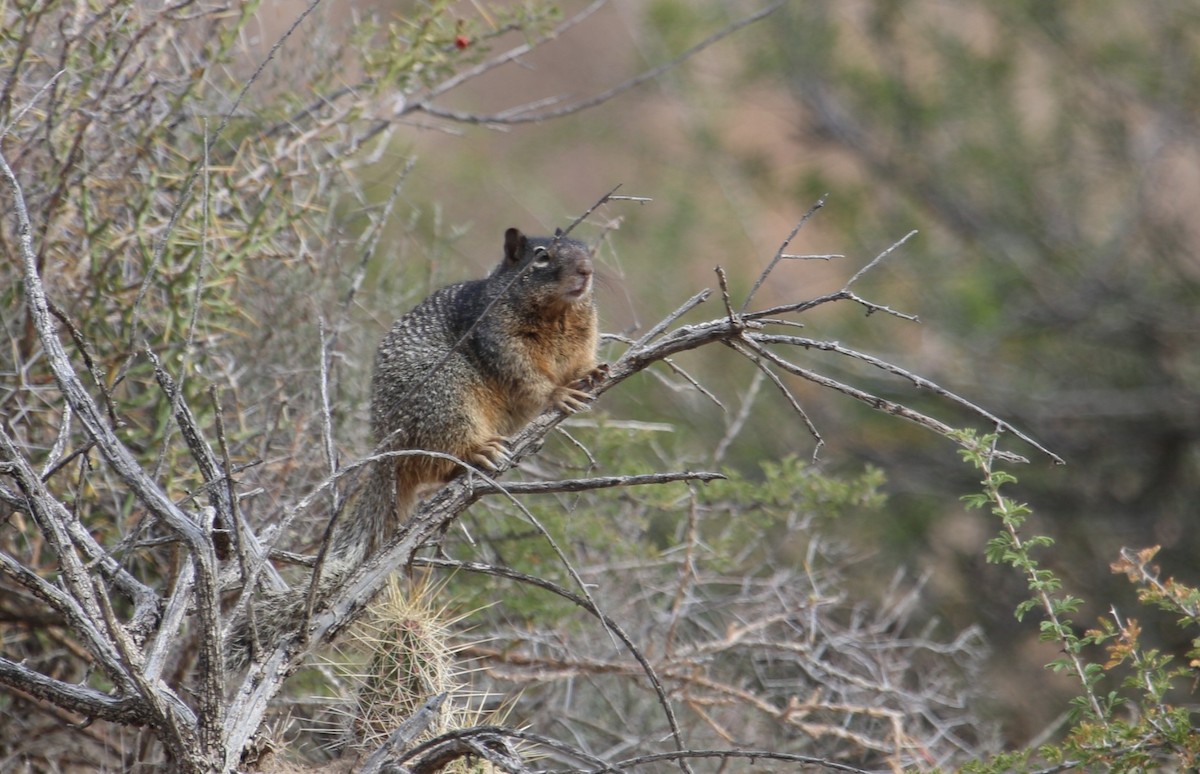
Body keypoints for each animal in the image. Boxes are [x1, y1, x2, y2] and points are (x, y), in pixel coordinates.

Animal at [227, 227, 599, 669]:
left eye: (587, 247)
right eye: (541, 256)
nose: (587, 269)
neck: (560, 314)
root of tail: (389, 456)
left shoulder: (583, 338)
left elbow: (582, 361)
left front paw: (594, 373)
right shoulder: (501, 340)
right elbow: (529, 378)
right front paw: (559, 393)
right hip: (448, 395)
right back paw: (479, 452)